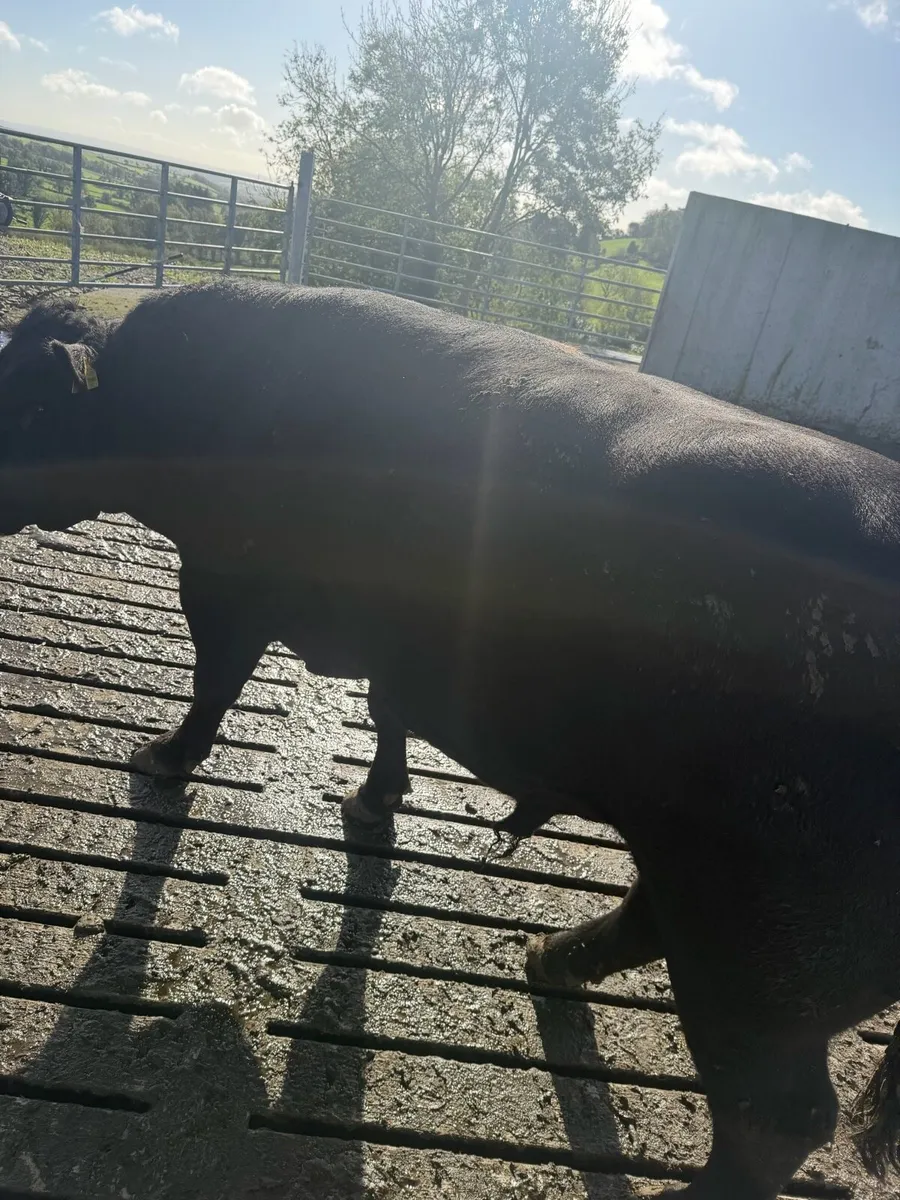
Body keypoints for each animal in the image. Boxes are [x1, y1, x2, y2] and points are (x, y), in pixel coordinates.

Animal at [0, 280, 899, 1199]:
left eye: (29, 406)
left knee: (781, 1118)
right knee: (647, 929)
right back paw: (542, 958)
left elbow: (215, 683)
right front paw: (368, 805)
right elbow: (383, 707)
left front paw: (152, 759)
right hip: (712, 889)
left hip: (765, 936)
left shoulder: (221, 576)